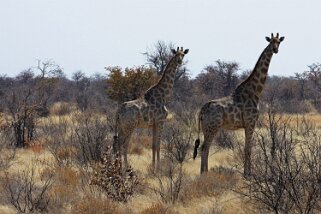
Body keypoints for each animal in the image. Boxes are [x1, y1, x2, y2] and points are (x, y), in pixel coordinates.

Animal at [192, 33, 282, 176]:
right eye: (271, 42)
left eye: (279, 42)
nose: (275, 49)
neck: (255, 92)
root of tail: (202, 110)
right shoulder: (250, 122)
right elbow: (248, 148)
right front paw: (248, 174)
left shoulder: (248, 124)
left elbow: (247, 147)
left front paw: (248, 173)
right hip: (213, 127)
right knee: (205, 148)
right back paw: (204, 174)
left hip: (206, 128)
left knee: (203, 147)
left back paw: (204, 173)